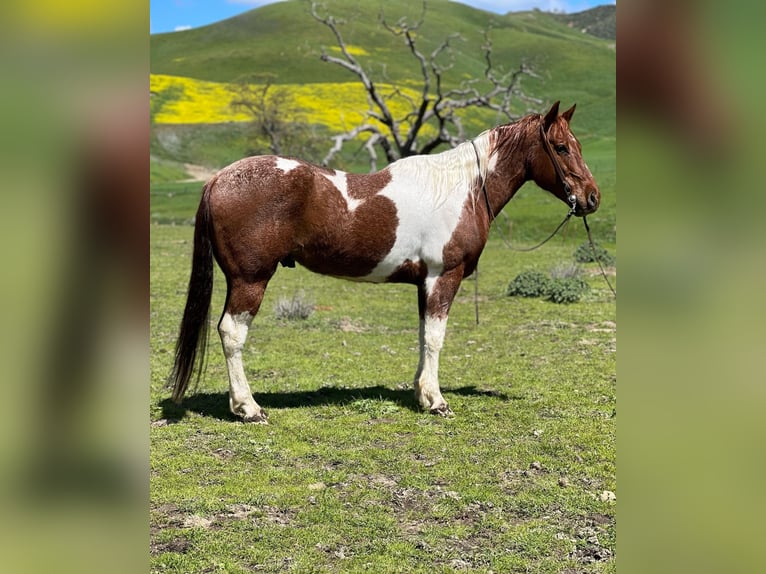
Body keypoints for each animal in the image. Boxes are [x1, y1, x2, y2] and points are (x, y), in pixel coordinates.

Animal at [170, 101, 600, 424]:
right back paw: (248, 408)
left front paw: (422, 394)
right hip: (250, 279)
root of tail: (219, 179)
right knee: (231, 333)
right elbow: (436, 337)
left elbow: (424, 334)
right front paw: (437, 401)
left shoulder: (425, 283)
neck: (462, 189)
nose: (592, 198)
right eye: (561, 147)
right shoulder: (444, 277)